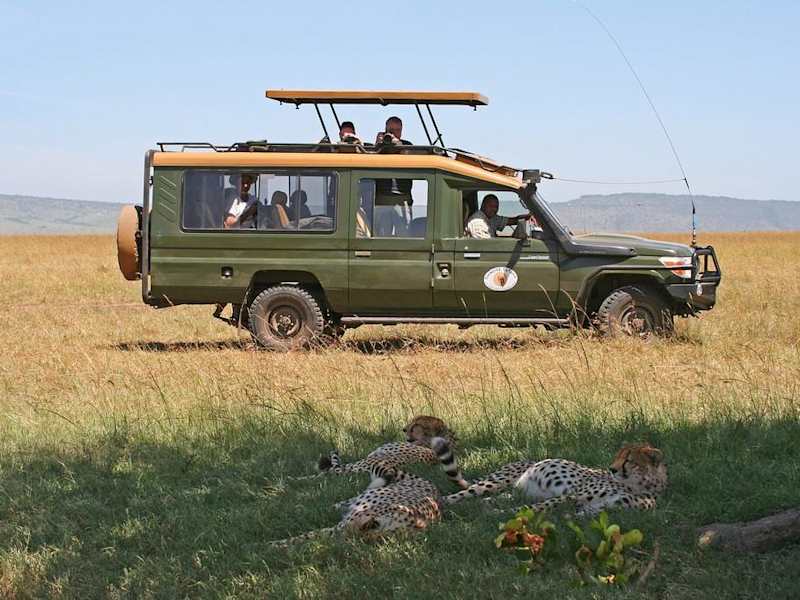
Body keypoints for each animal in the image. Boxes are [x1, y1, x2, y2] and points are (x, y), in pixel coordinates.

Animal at [443, 443, 667, 517]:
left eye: (628, 460)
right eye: (617, 457)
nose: (611, 469)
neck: (636, 487)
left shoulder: (598, 509)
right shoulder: (571, 496)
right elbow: (535, 508)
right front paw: (498, 515)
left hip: (513, 491)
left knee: (494, 498)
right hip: (493, 482)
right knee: (460, 495)